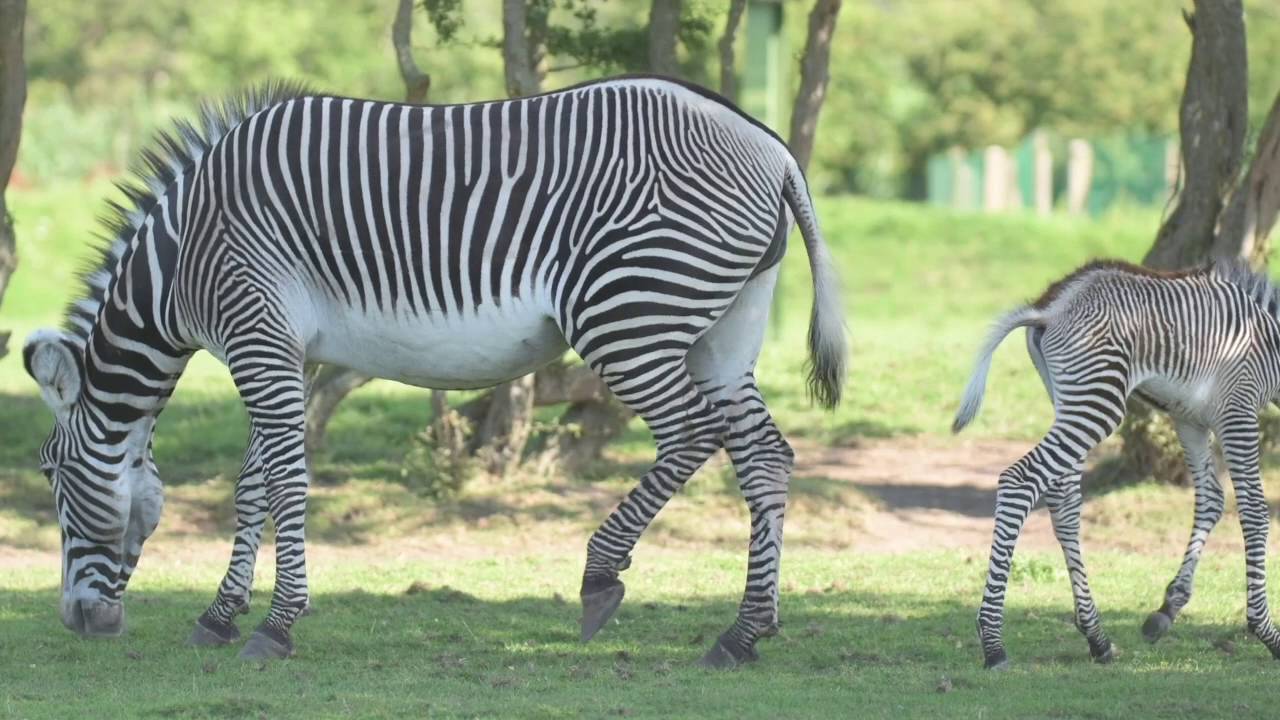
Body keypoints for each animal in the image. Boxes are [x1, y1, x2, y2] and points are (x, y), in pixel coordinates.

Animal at [22, 76, 847, 665]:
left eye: (51, 474)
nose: (77, 623)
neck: (181, 257)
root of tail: (773, 149)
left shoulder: (256, 334)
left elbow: (284, 481)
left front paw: (278, 624)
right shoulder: (295, 352)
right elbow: (254, 483)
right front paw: (221, 615)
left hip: (627, 311)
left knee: (691, 434)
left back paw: (601, 576)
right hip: (724, 331)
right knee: (765, 455)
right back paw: (743, 633)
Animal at [952, 259, 1280, 668]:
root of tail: (1052, 306)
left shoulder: (1190, 419)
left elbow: (1211, 500)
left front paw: (1167, 609)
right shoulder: (1238, 411)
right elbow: (1253, 511)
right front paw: (1267, 631)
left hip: (1072, 400)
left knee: (1063, 501)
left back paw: (1097, 637)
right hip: (1098, 403)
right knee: (1020, 479)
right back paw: (994, 643)